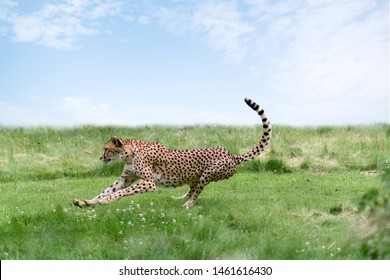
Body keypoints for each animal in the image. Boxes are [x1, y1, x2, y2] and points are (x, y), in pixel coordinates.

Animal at [74, 97, 272, 207]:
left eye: (106, 149)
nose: (100, 157)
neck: (132, 153)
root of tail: (230, 154)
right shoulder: (125, 178)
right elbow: (106, 190)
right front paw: (86, 202)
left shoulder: (148, 182)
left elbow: (120, 192)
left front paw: (106, 201)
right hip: (195, 176)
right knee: (193, 189)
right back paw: (180, 198)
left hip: (208, 173)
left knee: (197, 194)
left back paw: (188, 204)